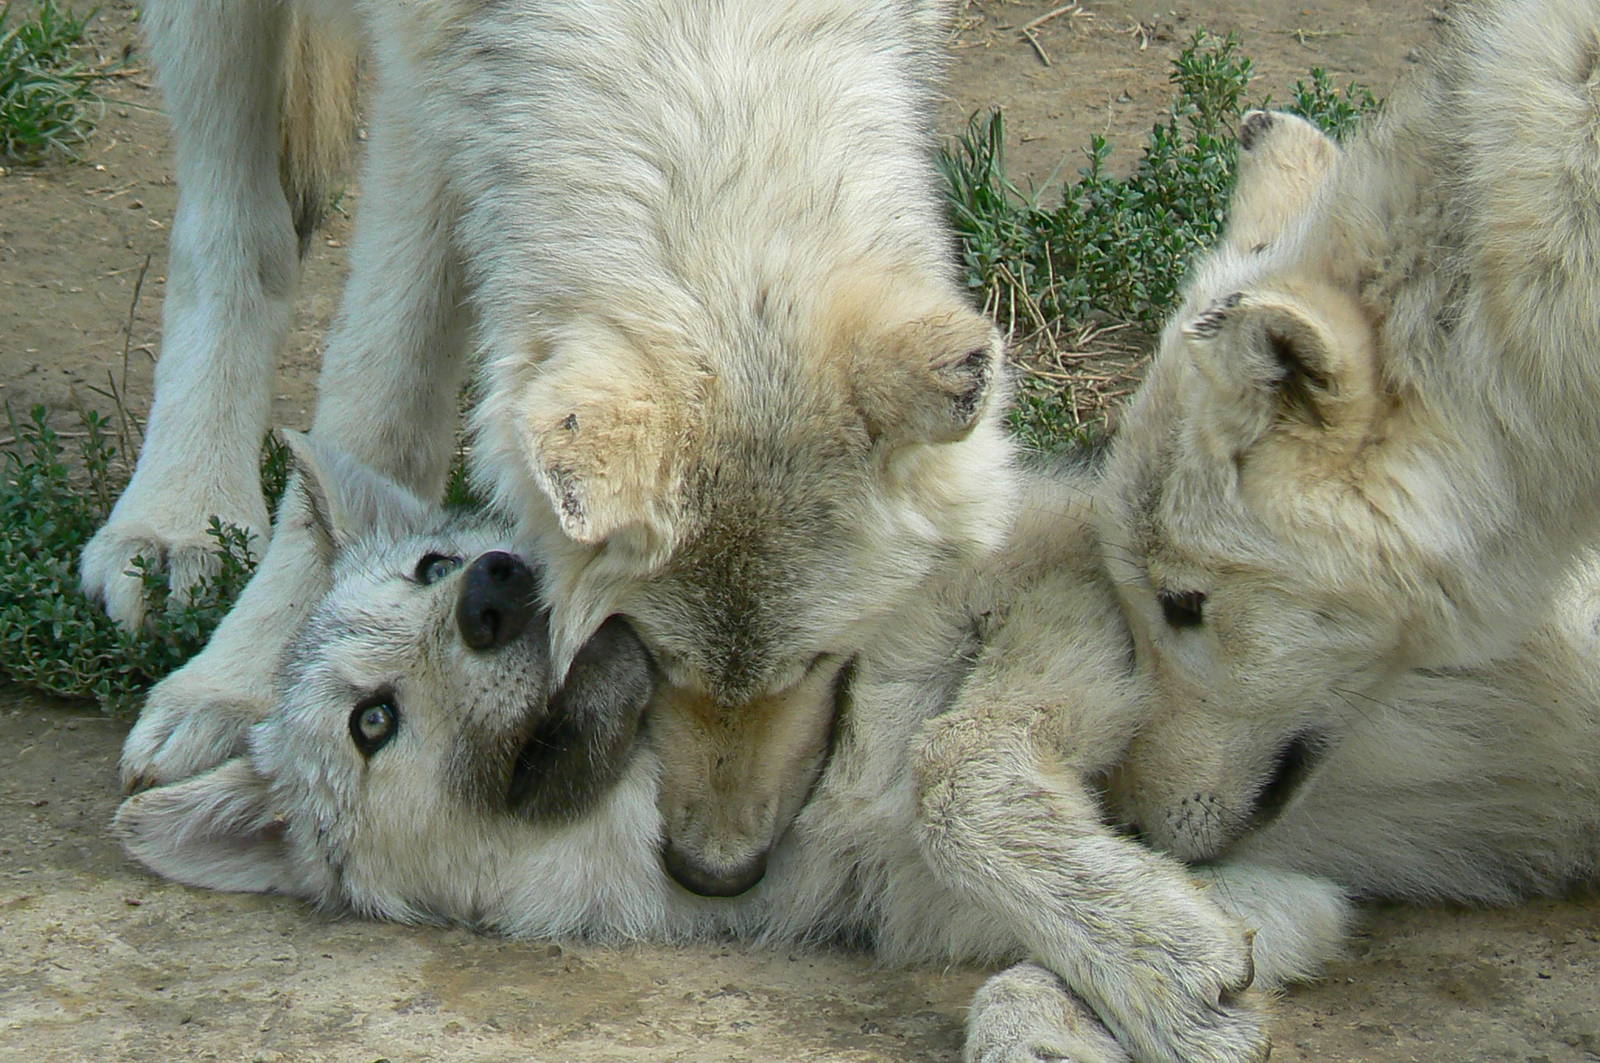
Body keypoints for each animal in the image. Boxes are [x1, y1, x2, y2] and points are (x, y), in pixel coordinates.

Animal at [92, 0, 1017, 896]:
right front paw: (253, 671)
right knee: (235, 226)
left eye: (822, 656)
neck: (706, 34)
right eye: (650, 652)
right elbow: (378, 405)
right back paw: (176, 524)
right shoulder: (427, 103)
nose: (717, 874)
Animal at [117, 436, 1361, 1063]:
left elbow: (955, 773)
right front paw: (1151, 986)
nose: (493, 593)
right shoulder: (1288, 892)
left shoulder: (1057, 604)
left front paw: (1149, 958)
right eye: (370, 721)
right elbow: (1018, 980)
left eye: (432, 568)